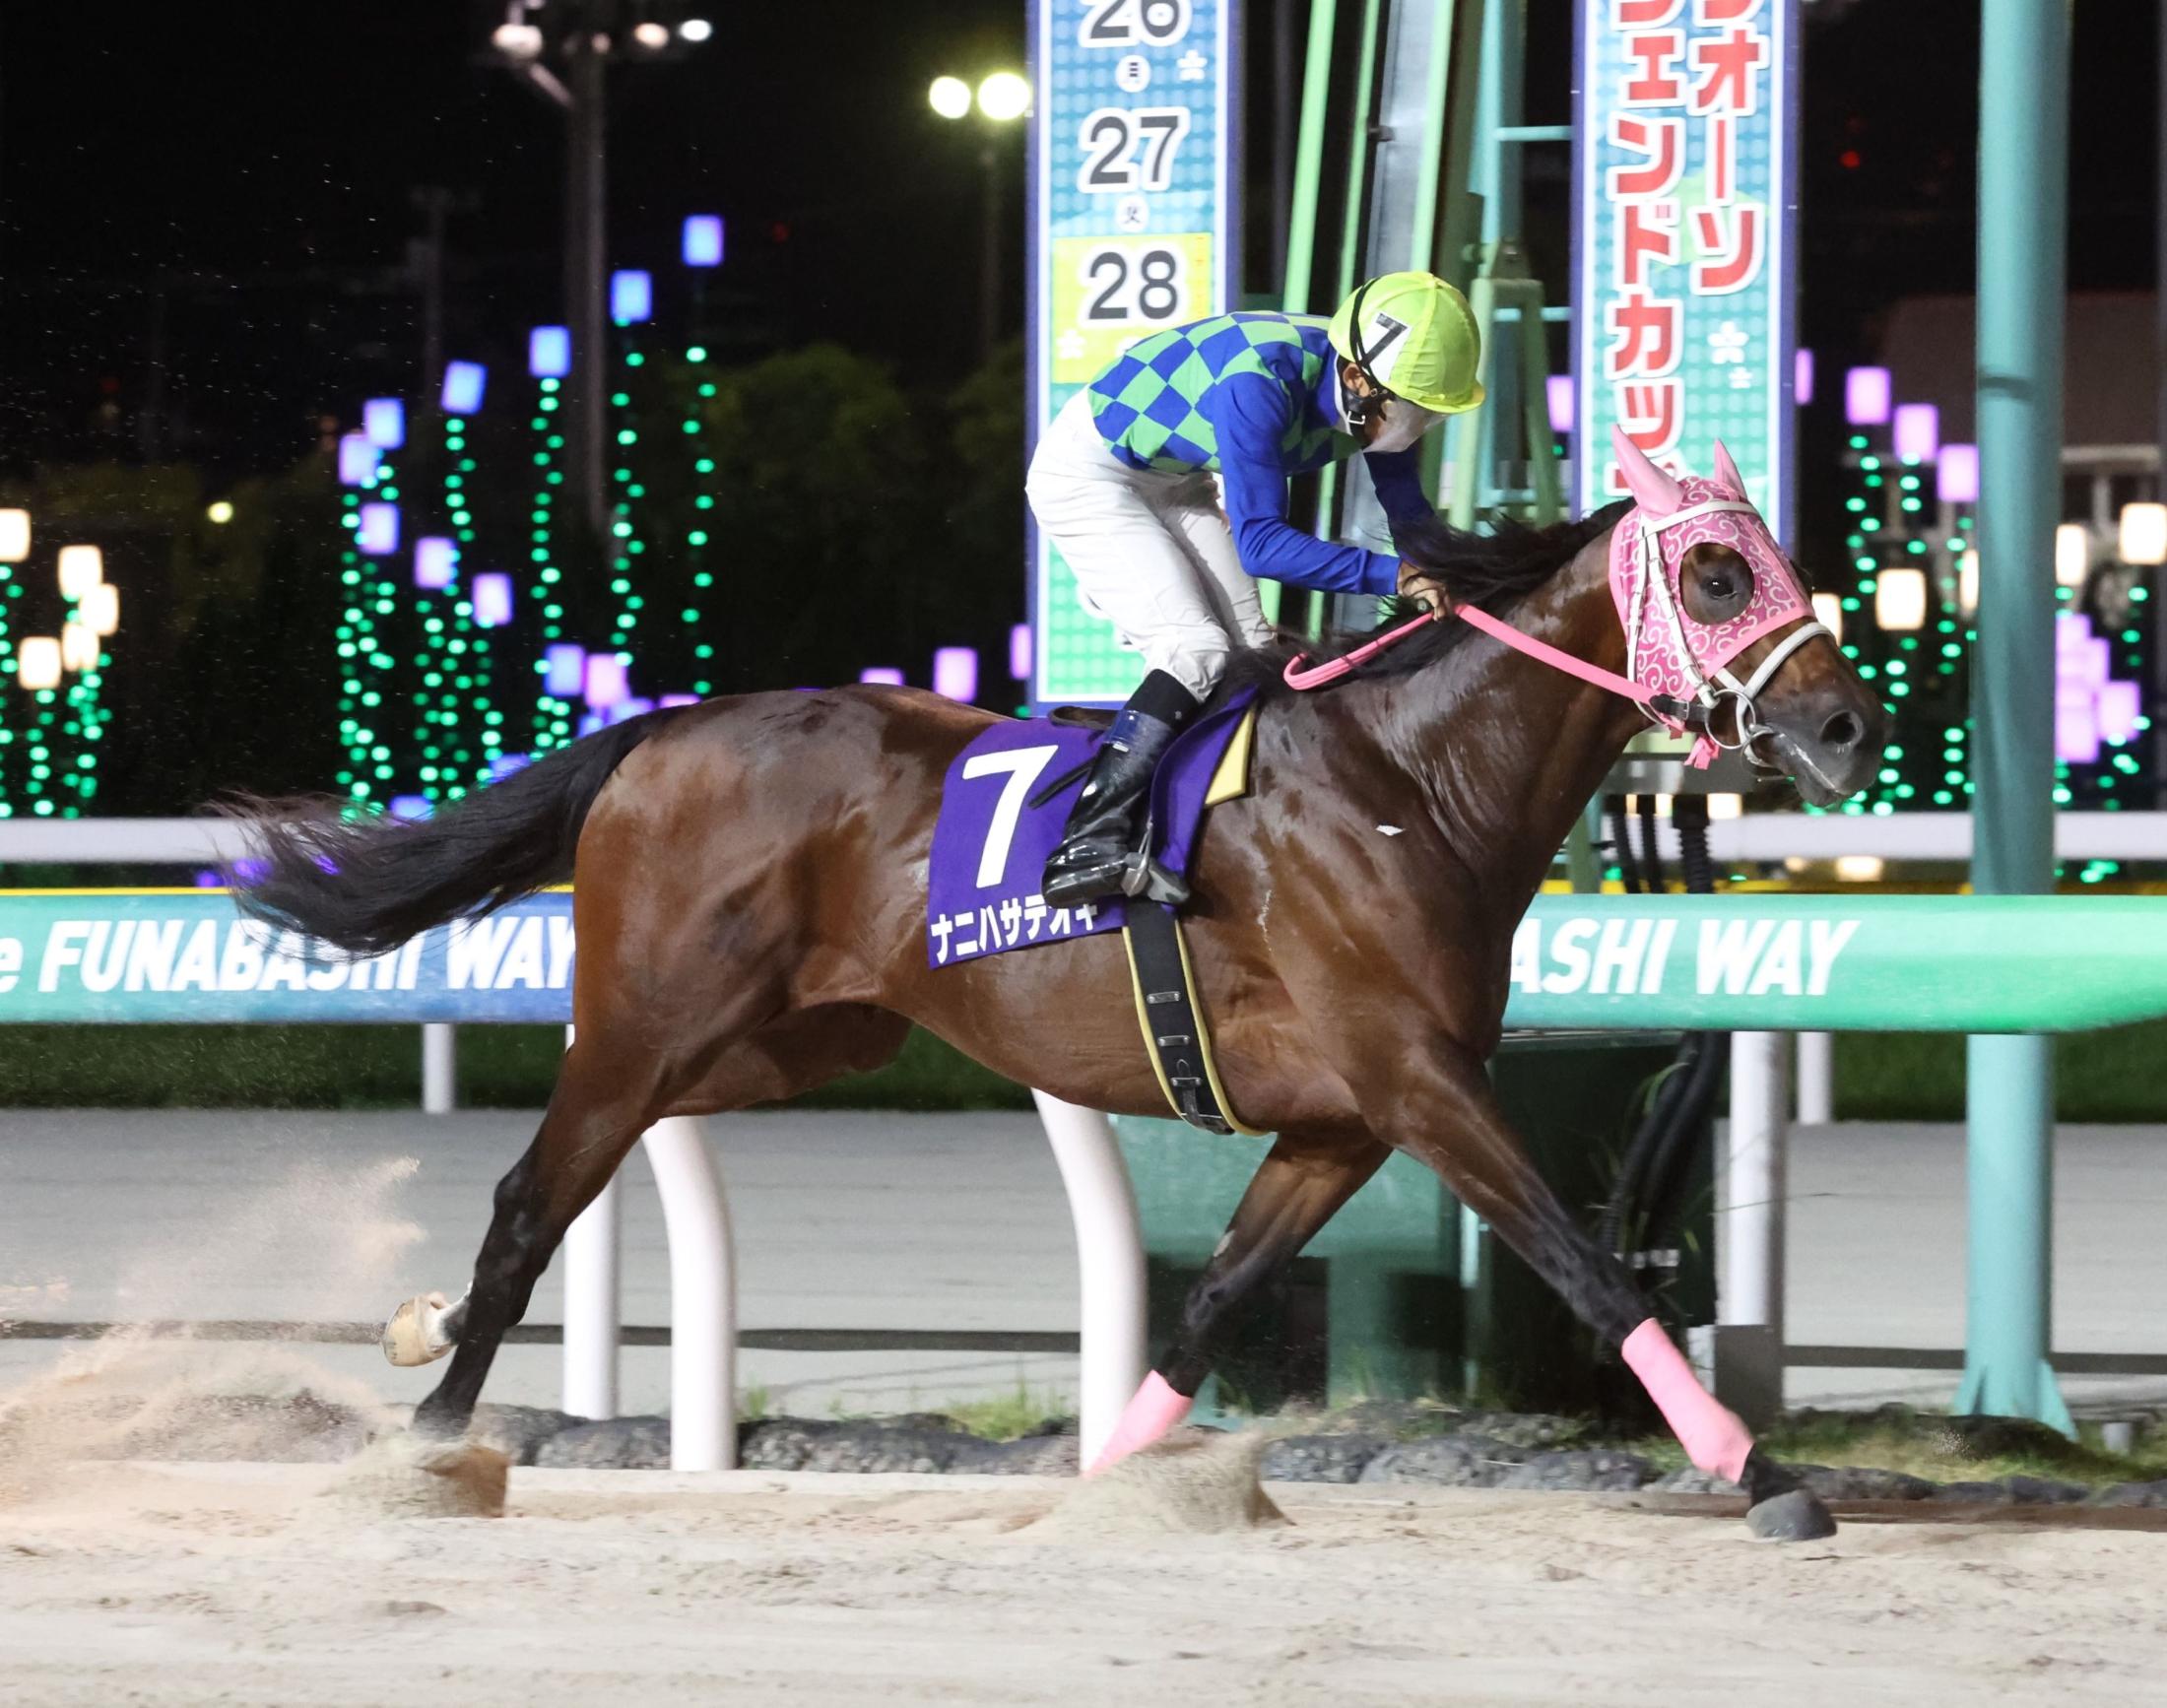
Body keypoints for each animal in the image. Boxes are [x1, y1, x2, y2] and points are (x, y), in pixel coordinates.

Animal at [232, 444, 1880, 1551]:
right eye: (1718, 572)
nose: (1845, 725)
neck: (1411, 781)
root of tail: (664, 728)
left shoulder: (1344, 1119)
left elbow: (1209, 1302)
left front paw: (1097, 1483)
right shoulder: (1418, 1079)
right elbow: (1591, 1268)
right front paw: (1764, 1474)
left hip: (794, 1038)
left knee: (579, 1172)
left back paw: (423, 1329)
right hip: (652, 1018)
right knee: (531, 1195)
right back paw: (425, 1450)